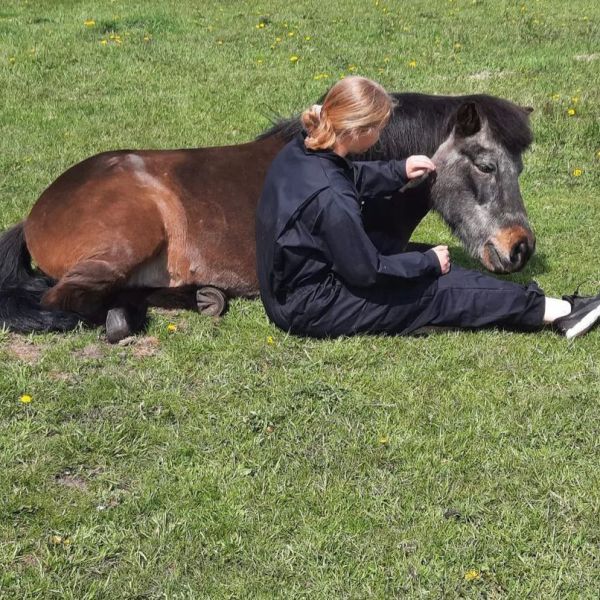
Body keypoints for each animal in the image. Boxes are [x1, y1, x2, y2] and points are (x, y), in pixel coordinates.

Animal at [0, 91, 536, 340]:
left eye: (518, 166)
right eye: (486, 165)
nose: (520, 248)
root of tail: (36, 212)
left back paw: (203, 296)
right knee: (65, 299)